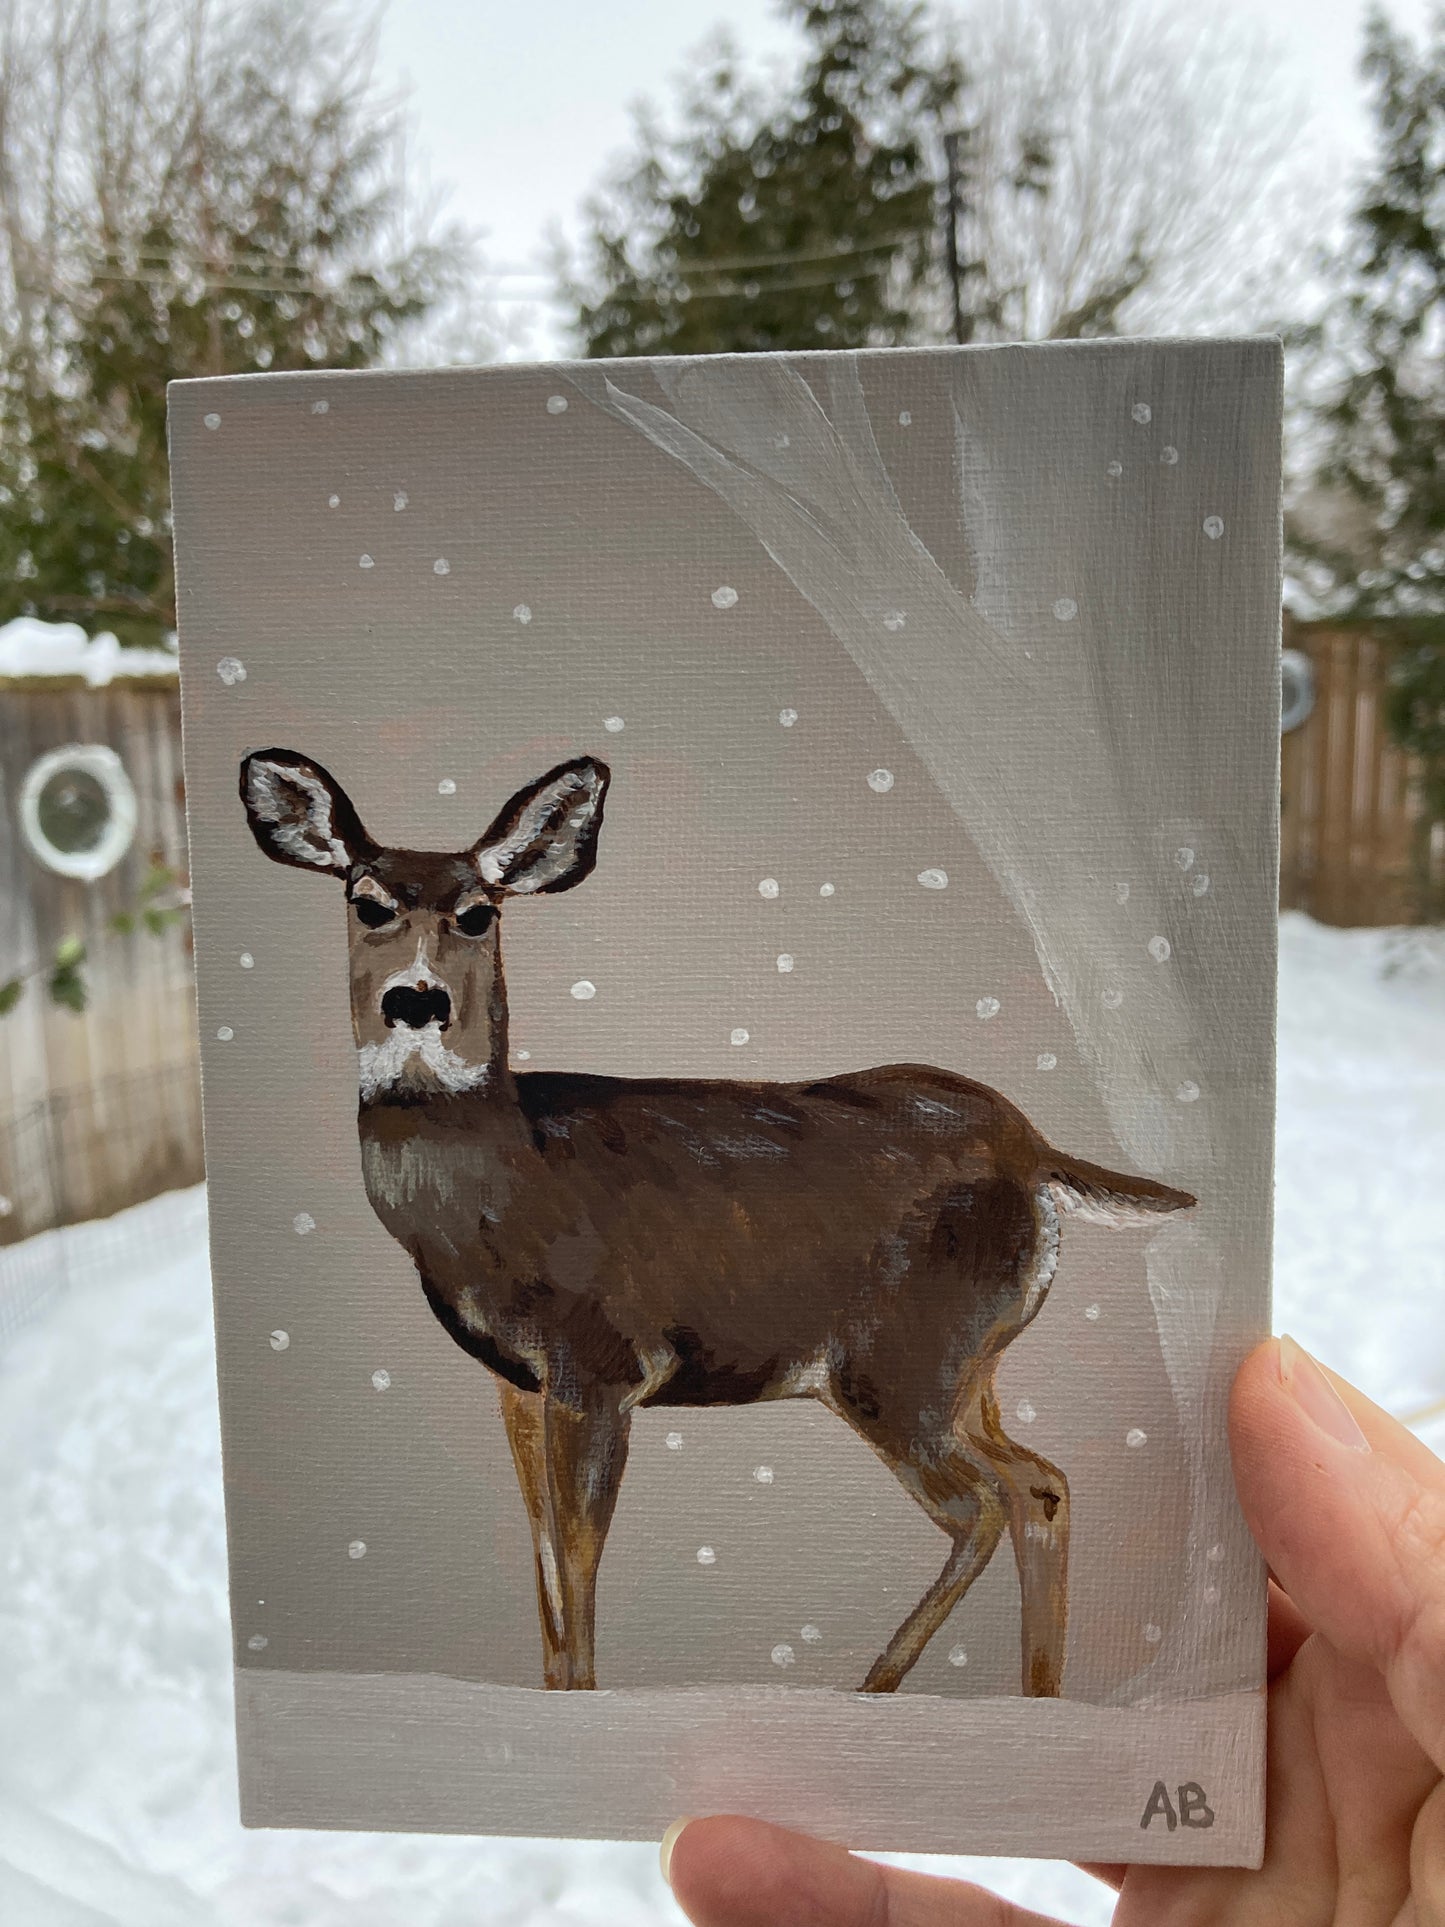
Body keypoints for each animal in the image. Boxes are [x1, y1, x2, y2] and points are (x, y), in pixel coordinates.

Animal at [240, 748, 1195, 1696]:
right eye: (368, 902)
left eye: (478, 913)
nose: (417, 1000)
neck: (502, 1185)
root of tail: (1033, 1151)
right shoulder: (519, 1382)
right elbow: (545, 1567)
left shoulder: (602, 1359)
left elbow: (579, 1561)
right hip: (971, 1365)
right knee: (1041, 1483)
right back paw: (1036, 1696)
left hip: (898, 1362)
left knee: (986, 1502)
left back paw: (874, 1689)